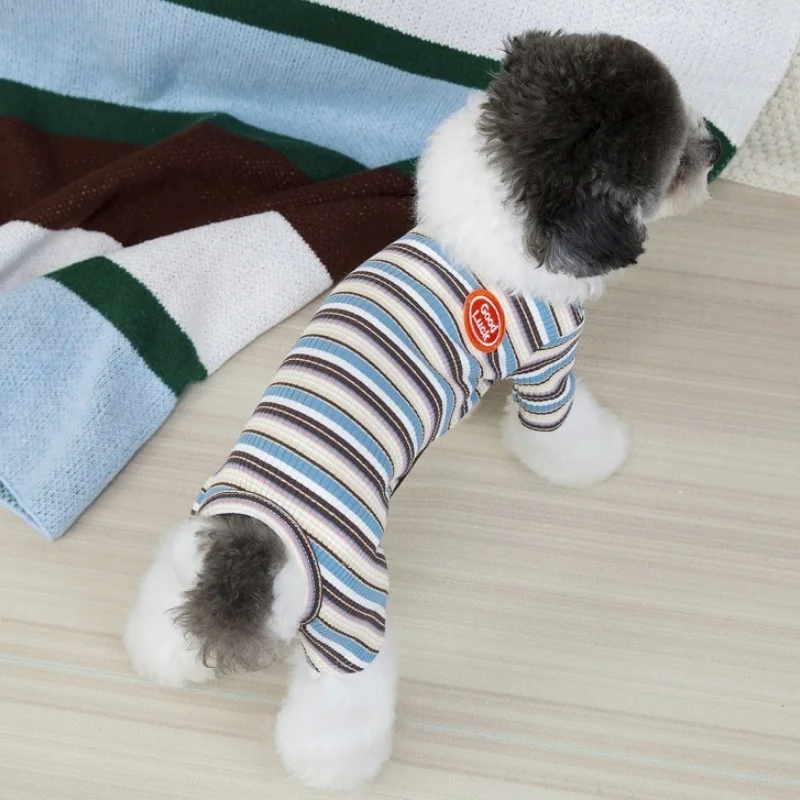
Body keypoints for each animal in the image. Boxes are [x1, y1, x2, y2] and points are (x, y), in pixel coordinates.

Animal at [125, 30, 720, 790]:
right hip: (353, 608)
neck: (491, 219)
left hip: (197, 539)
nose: (711, 151)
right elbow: (563, 434)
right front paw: (601, 453)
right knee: (342, 701)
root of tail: (258, 555)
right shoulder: (548, 367)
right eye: (672, 165)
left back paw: (161, 656)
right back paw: (335, 767)